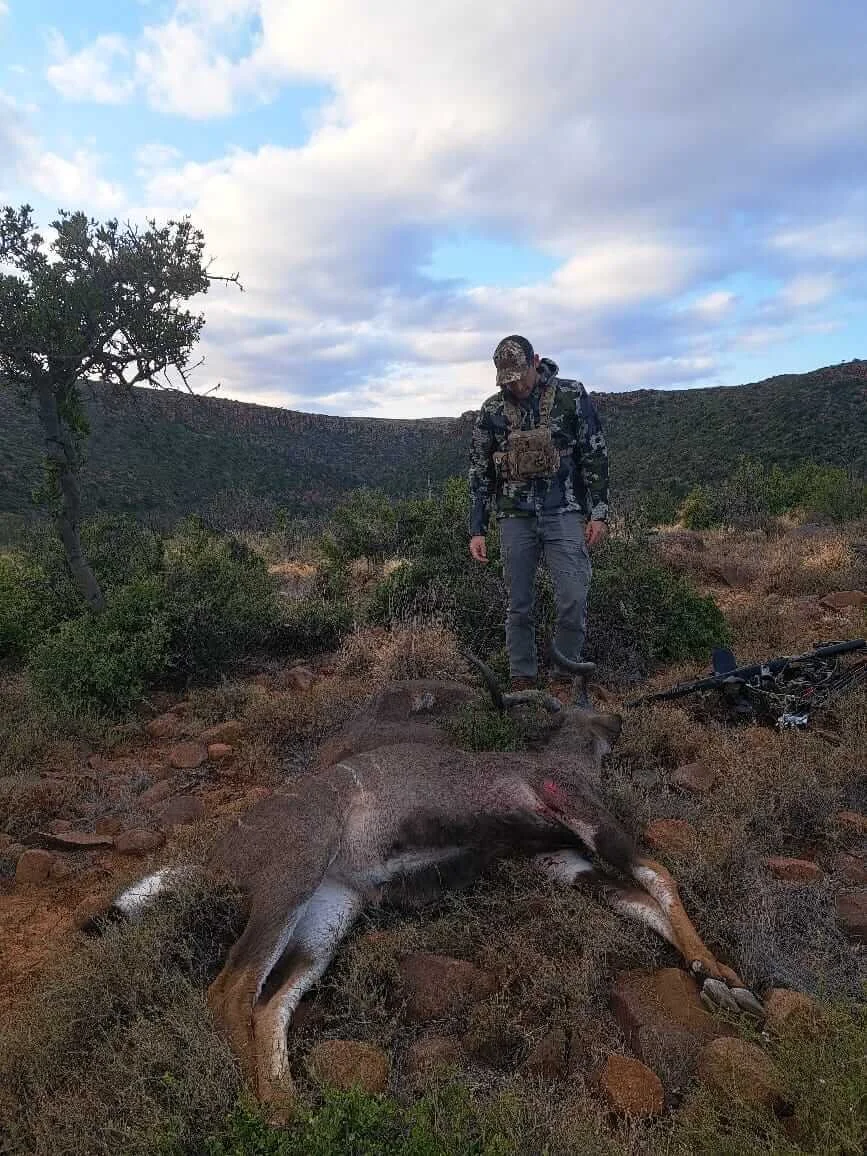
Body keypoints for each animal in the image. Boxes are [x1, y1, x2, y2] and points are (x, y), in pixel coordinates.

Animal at [99, 650, 763, 1110]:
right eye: (581, 704)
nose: (619, 718)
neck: (550, 762)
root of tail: (217, 854)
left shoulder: (560, 862)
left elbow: (639, 902)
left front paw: (715, 980)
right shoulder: (578, 813)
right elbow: (658, 875)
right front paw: (724, 974)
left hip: (329, 914)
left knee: (273, 1000)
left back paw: (290, 1111)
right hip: (291, 879)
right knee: (231, 988)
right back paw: (263, 1113)